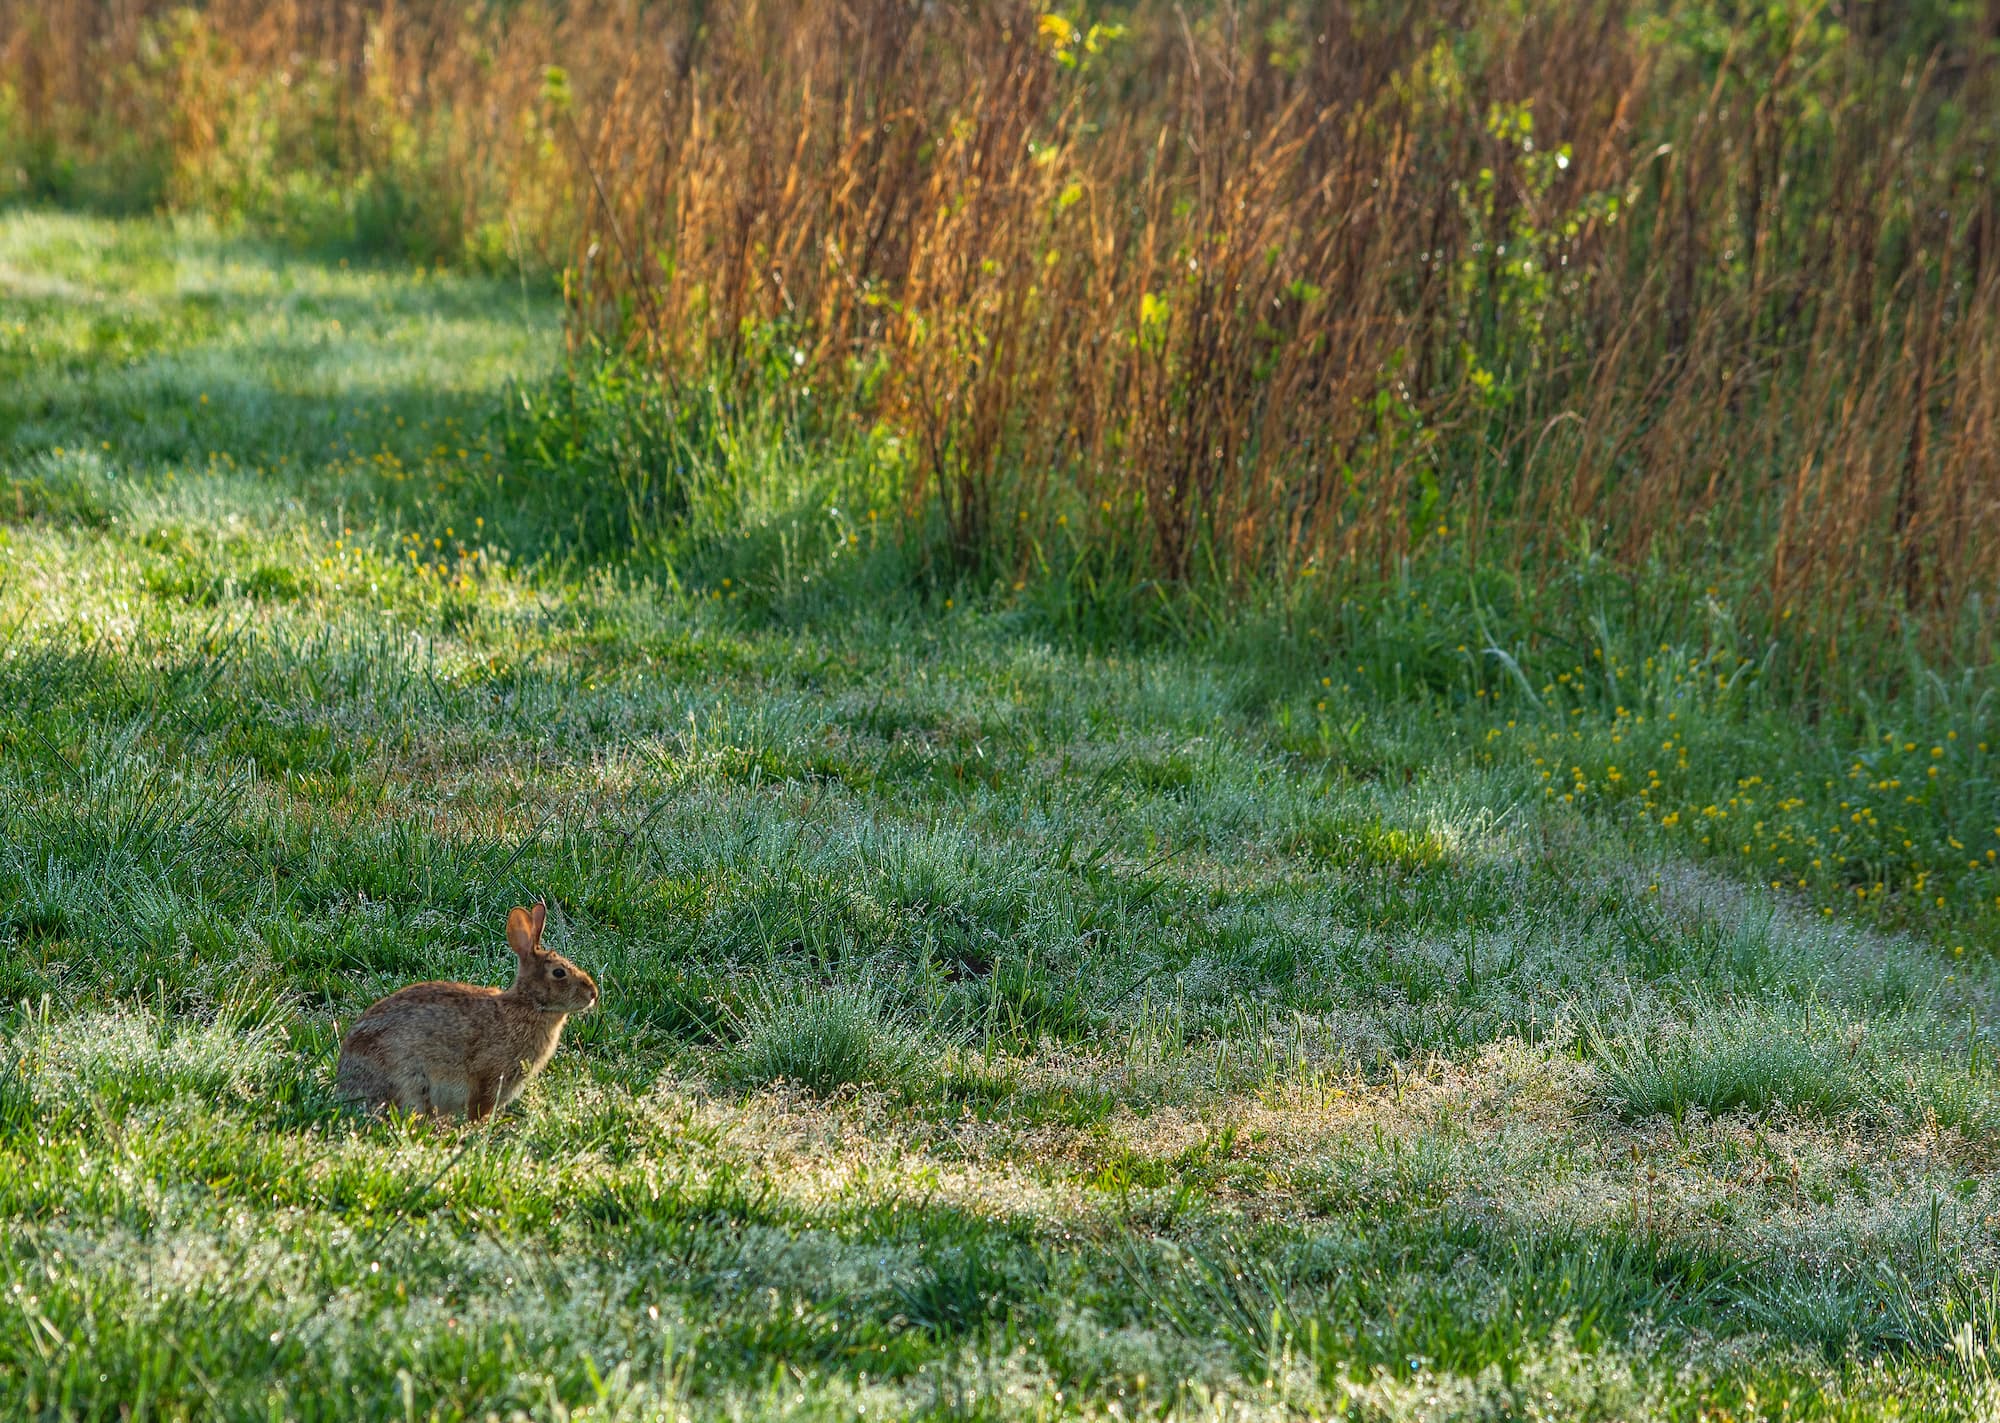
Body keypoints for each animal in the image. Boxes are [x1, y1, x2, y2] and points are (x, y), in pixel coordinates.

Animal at [335, 902, 598, 1121]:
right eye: (559, 973)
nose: (593, 993)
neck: (529, 1004)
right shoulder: (488, 1077)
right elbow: (479, 1107)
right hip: (408, 1081)